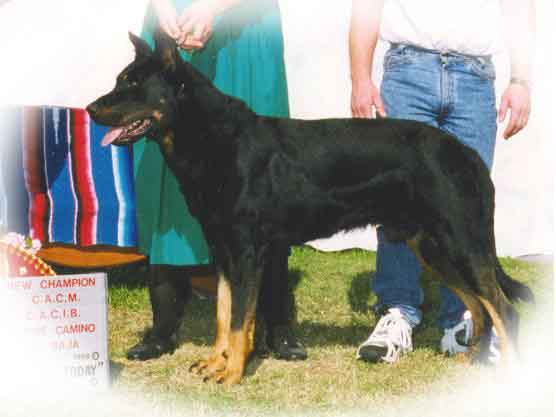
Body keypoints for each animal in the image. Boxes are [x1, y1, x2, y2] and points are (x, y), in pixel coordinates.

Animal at [87, 31, 533, 385]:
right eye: (120, 80)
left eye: (133, 84)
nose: (91, 110)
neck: (213, 138)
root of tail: (467, 154)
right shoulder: (223, 249)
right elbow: (223, 313)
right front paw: (216, 363)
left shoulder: (247, 251)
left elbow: (240, 319)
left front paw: (232, 374)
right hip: (433, 247)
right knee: (480, 309)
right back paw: (471, 367)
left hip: (461, 242)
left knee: (503, 311)